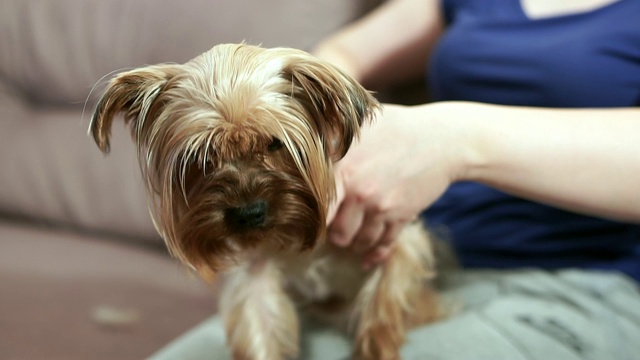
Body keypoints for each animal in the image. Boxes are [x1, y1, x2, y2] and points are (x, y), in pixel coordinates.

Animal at [90, 43, 440, 358]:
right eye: (201, 156)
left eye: (275, 143)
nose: (248, 213)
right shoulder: (254, 270)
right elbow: (260, 325)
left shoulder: (394, 234)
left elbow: (384, 307)